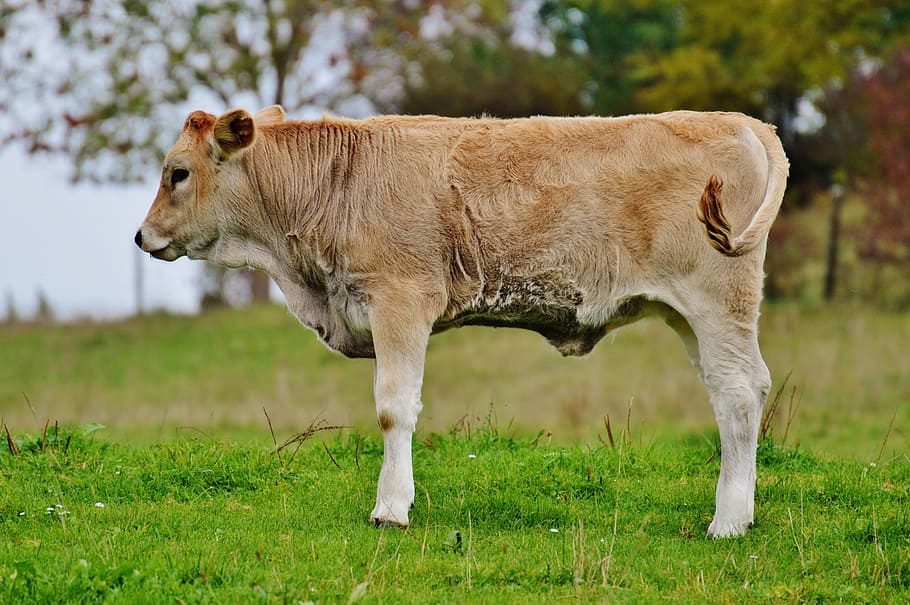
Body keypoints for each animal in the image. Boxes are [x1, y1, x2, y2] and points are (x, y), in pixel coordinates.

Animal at [135, 106, 788, 537]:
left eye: (177, 173)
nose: (141, 236)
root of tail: (744, 122)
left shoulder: (400, 301)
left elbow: (394, 408)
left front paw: (391, 508)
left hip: (716, 301)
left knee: (738, 393)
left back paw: (728, 522)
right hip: (689, 316)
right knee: (735, 392)